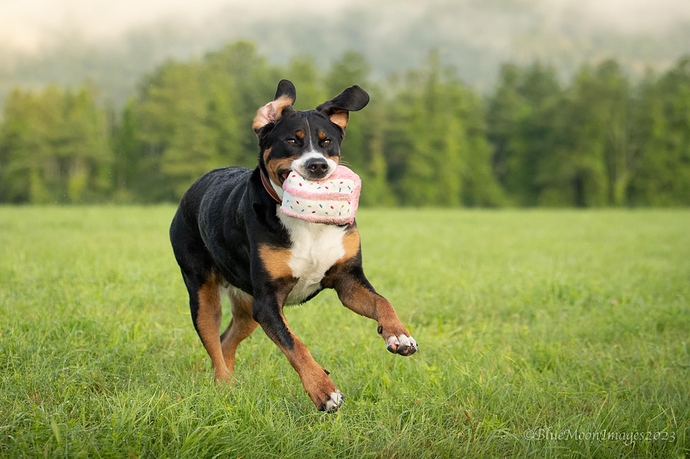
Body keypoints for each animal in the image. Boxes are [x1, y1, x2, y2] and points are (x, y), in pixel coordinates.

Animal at [169, 80, 416, 414]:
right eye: (291, 140)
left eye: (326, 142)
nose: (317, 165)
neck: (309, 220)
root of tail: (194, 186)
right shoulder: (268, 301)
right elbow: (294, 344)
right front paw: (323, 390)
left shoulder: (348, 280)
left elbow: (382, 302)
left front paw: (399, 334)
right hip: (204, 293)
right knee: (213, 341)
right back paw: (224, 390)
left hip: (247, 309)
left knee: (225, 341)